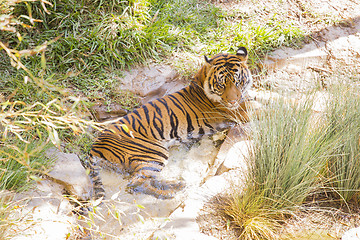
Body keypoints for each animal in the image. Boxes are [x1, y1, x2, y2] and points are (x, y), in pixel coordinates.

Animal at [88, 46, 253, 199]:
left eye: (238, 82)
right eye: (221, 85)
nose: (232, 101)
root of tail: (95, 145)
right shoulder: (235, 113)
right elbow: (257, 107)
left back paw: (177, 185)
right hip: (152, 153)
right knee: (135, 184)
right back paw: (173, 190)